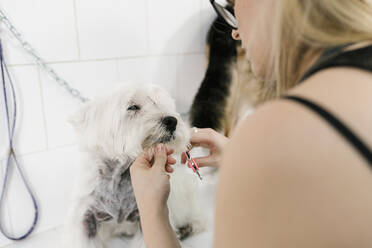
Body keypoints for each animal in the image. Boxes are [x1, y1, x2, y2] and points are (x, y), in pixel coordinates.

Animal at [62, 84, 208, 247]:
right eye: (132, 107)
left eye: (162, 103)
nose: (172, 121)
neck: (121, 176)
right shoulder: (86, 216)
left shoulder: (146, 217)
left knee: (199, 217)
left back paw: (187, 228)